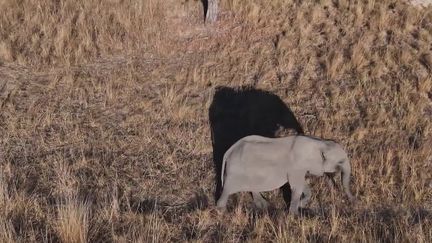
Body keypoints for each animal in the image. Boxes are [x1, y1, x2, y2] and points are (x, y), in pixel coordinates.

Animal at [216, 134, 354, 215]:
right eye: (340, 162)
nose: (354, 201)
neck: (320, 143)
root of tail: (229, 151)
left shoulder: (299, 168)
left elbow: (302, 185)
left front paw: (300, 206)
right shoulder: (296, 166)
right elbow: (297, 187)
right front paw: (294, 215)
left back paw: (263, 206)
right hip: (235, 172)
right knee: (227, 190)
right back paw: (222, 212)